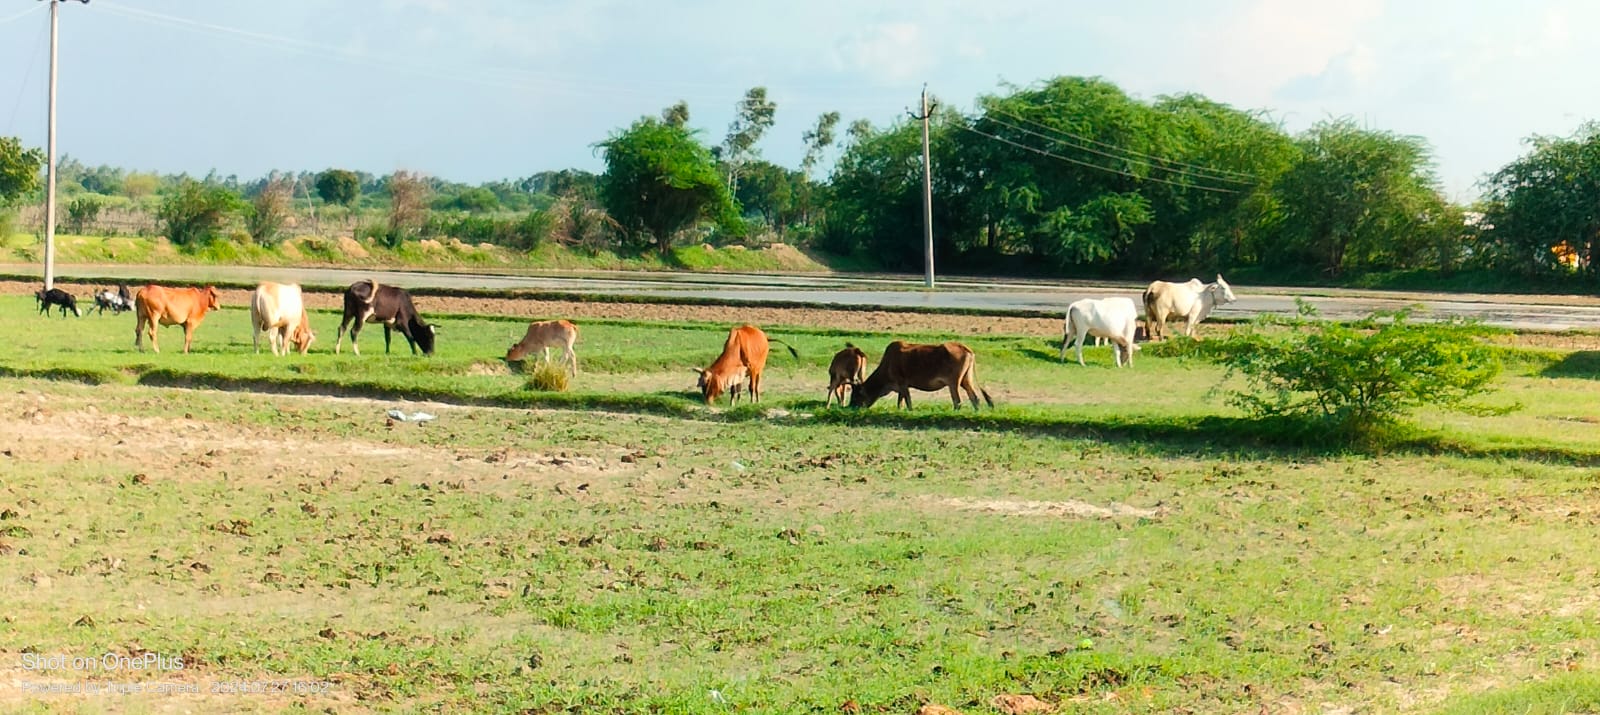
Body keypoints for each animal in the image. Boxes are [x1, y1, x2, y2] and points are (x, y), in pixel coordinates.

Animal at [844, 342, 992, 412]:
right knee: (974, 398)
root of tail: (967, 349)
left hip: (953, 383)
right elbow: (901, 401)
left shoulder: (903, 383)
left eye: (856, 396)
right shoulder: (901, 387)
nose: (850, 407)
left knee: (957, 401)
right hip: (966, 380)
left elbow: (908, 401)